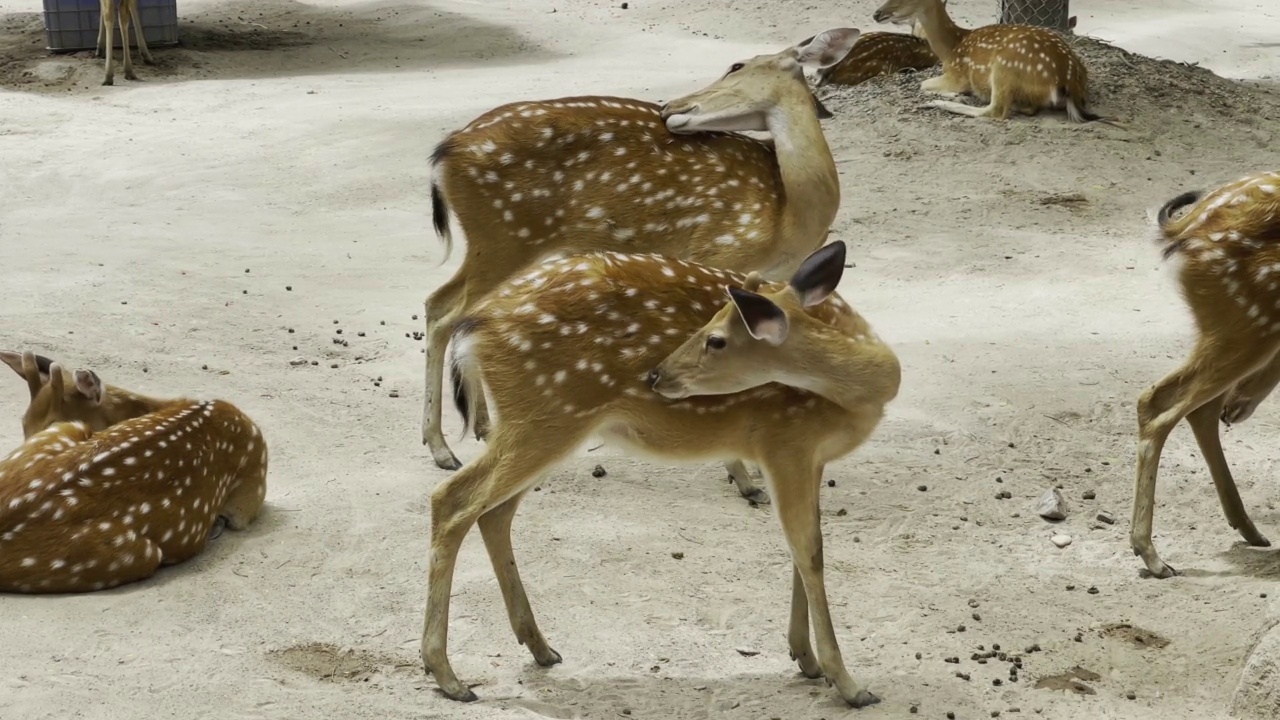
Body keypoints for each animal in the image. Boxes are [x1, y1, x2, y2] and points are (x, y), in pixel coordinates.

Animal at [419, 238, 901, 702]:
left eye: (716, 339)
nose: (656, 375)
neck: (859, 398)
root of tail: (476, 327)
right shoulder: (786, 442)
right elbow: (809, 552)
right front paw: (850, 684)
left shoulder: (812, 457)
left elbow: (805, 550)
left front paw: (807, 660)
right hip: (545, 417)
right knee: (452, 500)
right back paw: (447, 675)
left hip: (544, 426)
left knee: (494, 513)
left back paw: (539, 646)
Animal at [424, 29, 865, 504]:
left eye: (736, 66)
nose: (670, 107)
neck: (790, 215)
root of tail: (442, 157)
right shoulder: (719, 253)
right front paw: (745, 478)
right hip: (503, 236)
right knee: (446, 311)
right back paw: (443, 448)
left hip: (498, 242)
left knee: (443, 305)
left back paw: (477, 428)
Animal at [870, 0, 1111, 121]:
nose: (876, 14)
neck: (951, 48)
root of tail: (1068, 80)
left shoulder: (956, 74)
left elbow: (922, 84)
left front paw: (954, 95)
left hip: (1004, 67)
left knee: (995, 111)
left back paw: (941, 103)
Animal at [1131, 170, 1280, 579]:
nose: (1238, 408)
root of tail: (1187, 227)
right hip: (1249, 324)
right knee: (1161, 404)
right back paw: (1152, 556)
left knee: (1191, 406)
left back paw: (1248, 528)